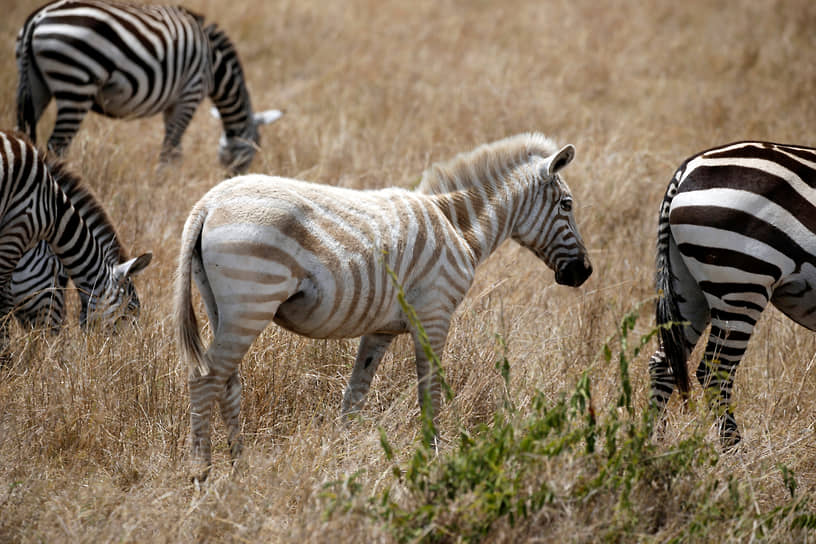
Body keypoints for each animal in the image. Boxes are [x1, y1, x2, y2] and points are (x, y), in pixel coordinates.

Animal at [15, 0, 282, 173]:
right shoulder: (190, 93)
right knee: (57, 145)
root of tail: (37, 18)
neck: (214, 66)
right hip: (76, 83)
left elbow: (175, 150)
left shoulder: (174, 102)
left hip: (36, 85)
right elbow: (170, 149)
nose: (232, 179)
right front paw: (162, 184)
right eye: (255, 149)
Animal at [174, 133, 592, 480]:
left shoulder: (381, 329)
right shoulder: (434, 316)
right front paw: (433, 462)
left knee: (227, 382)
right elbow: (429, 394)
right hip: (252, 301)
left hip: (223, 308)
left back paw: (239, 469)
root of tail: (209, 202)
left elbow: (354, 397)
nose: (584, 272)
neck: (457, 228)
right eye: (567, 204)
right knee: (205, 377)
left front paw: (341, 462)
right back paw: (201, 473)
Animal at [652, 140, 816, 446]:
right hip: (741, 283)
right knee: (715, 374)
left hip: (687, 286)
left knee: (663, 364)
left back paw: (650, 442)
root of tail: (687, 169)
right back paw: (736, 452)